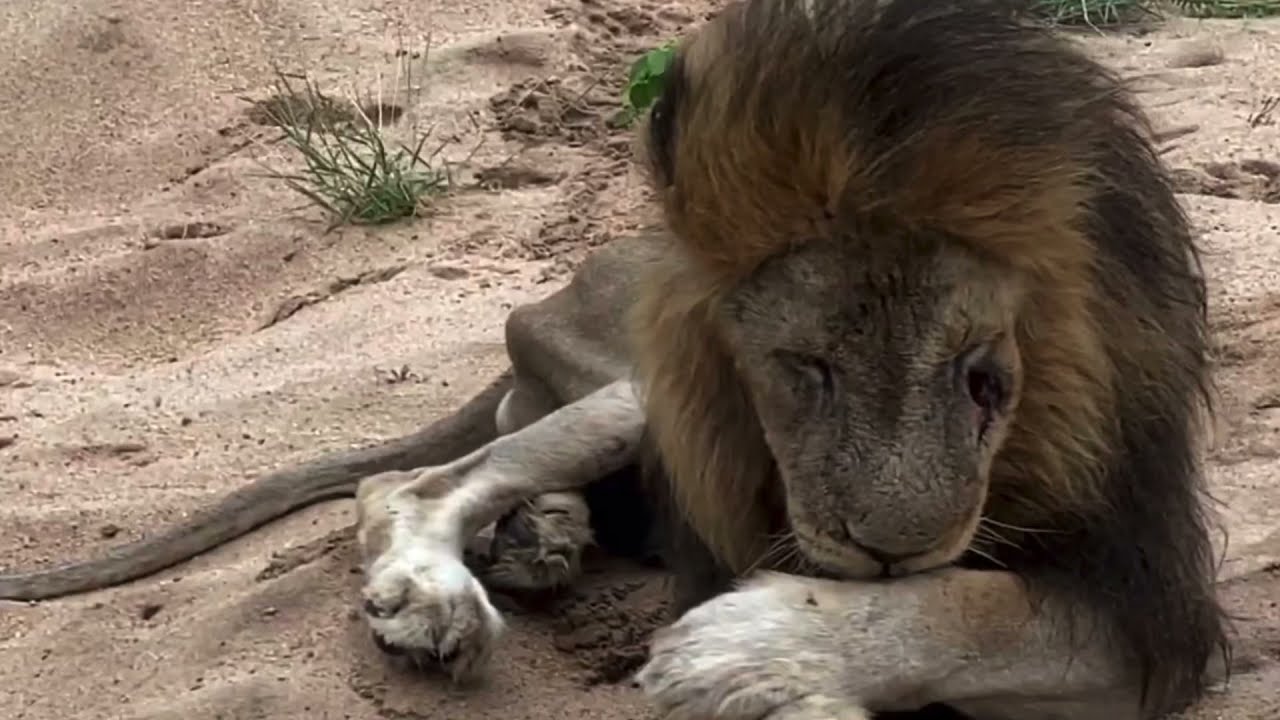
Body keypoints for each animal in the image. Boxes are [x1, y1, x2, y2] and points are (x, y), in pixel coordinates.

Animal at [0, 0, 1231, 718]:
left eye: (983, 378)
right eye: (800, 371)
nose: (888, 549)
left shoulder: (1153, 597)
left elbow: (972, 607)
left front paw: (764, 651)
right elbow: (969, 604)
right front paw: (752, 647)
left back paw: (541, 542)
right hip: (630, 390)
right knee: (409, 482)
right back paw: (449, 591)